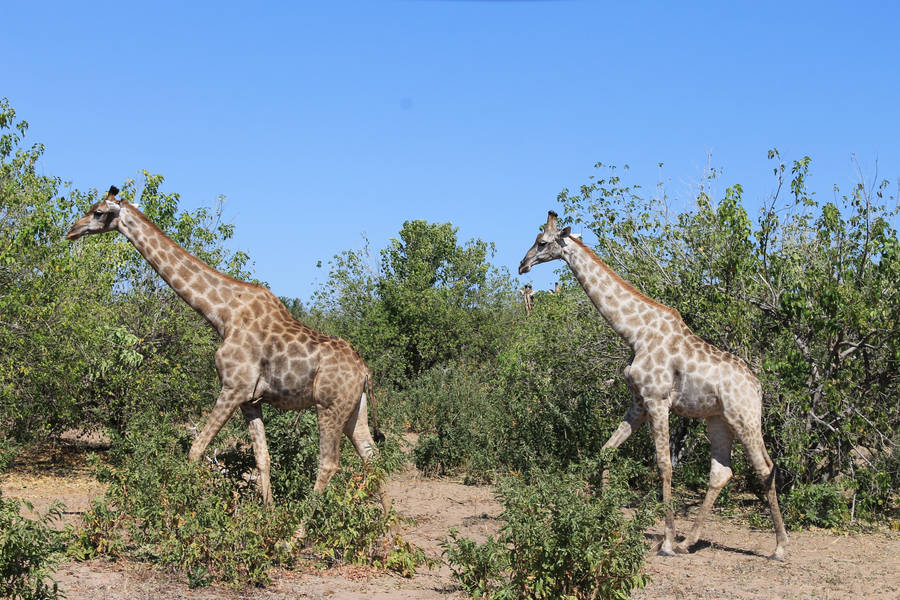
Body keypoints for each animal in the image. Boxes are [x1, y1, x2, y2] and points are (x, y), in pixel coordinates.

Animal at [66, 186, 388, 513]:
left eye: (98, 212)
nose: (71, 231)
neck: (222, 314)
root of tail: (365, 371)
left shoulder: (233, 387)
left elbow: (196, 449)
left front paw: (180, 509)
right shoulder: (251, 399)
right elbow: (262, 457)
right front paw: (268, 513)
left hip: (329, 406)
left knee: (329, 463)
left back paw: (301, 525)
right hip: (354, 409)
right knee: (373, 458)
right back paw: (386, 524)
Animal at [518, 211, 788, 560]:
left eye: (542, 243)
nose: (522, 265)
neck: (634, 332)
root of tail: (757, 386)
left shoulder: (658, 401)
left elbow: (664, 465)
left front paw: (667, 541)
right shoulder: (639, 402)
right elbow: (606, 451)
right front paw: (602, 513)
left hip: (745, 417)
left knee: (765, 467)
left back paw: (779, 546)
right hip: (718, 420)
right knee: (722, 472)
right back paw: (691, 542)